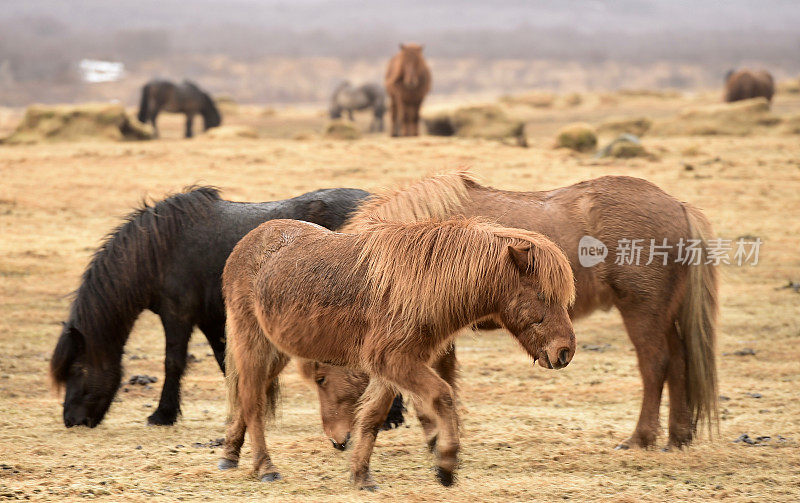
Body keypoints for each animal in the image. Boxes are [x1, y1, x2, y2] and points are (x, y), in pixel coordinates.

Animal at [217, 219, 576, 490]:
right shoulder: (395, 361)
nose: (564, 351)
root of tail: (247, 243)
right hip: (253, 343)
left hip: (278, 351)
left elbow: (372, 417)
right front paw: (446, 465)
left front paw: (361, 476)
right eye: (542, 295)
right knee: (252, 400)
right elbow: (443, 396)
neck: (422, 284)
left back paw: (230, 455)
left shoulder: (391, 367)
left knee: (248, 396)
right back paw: (265, 467)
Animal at [302, 174, 720, 452]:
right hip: (664, 315)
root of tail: (677, 206)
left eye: (320, 378)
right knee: (679, 362)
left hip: (642, 311)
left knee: (656, 365)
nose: (337, 441)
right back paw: (678, 437)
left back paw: (640, 439)